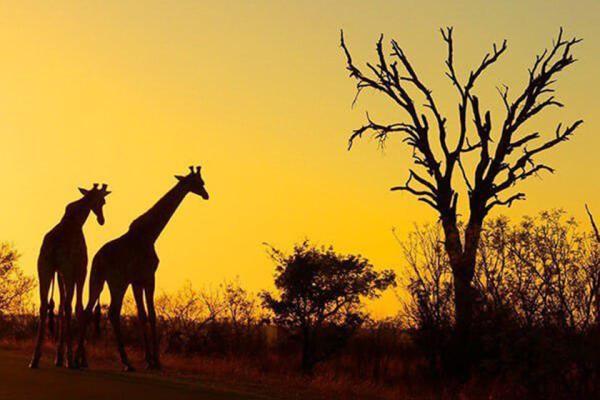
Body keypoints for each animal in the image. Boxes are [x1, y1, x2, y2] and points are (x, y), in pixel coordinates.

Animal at [29, 184, 110, 368]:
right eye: (102, 201)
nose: (102, 219)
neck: (77, 220)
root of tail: (54, 247)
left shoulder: (59, 273)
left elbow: (60, 306)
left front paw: (58, 357)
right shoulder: (80, 270)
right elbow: (78, 307)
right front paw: (79, 359)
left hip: (44, 269)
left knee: (44, 305)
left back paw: (35, 359)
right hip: (67, 271)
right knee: (68, 305)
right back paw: (71, 359)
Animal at [76, 166, 210, 372]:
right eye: (198, 182)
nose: (206, 195)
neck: (150, 234)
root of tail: (98, 259)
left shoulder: (136, 281)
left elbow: (142, 315)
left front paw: (148, 360)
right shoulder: (148, 277)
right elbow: (152, 315)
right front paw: (156, 361)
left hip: (97, 280)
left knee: (88, 310)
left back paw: (82, 361)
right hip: (117, 282)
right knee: (113, 312)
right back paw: (126, 362)